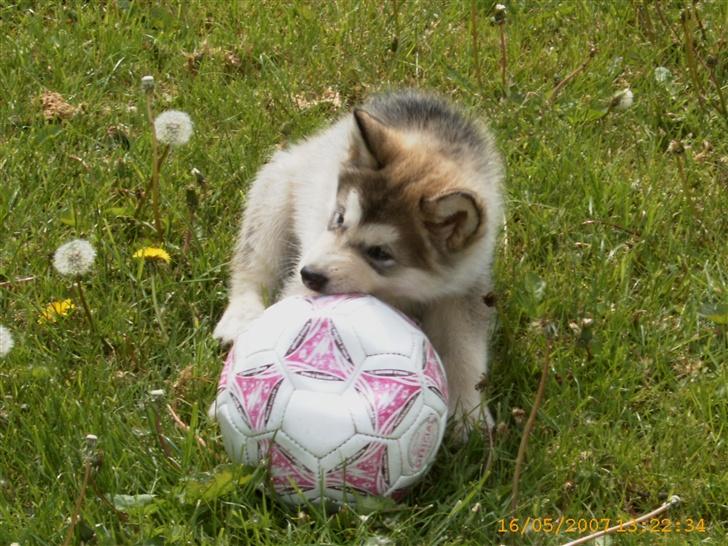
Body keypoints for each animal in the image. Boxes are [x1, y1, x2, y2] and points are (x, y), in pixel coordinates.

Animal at [213, 89, 504, 428]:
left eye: (380, 253)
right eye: (339, 218)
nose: (308, 274)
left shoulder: (464, 287)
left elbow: (465, 348)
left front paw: (469, 412)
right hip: (276, 192)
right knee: (254, 262)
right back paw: (241, 315)